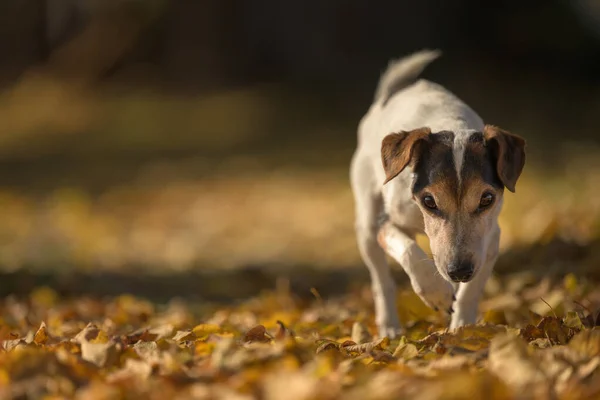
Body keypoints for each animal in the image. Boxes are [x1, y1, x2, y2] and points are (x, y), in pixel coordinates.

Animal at [350, 50, 528, 338]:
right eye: (428, 201)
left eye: (487, 199)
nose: (459, 271)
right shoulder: (385, 223)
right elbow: (410, 251)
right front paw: (436, 294)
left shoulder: (490, 240)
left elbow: (471, 291)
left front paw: (462, 329)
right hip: (367, 224)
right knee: (381, 281)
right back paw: (389, 326)